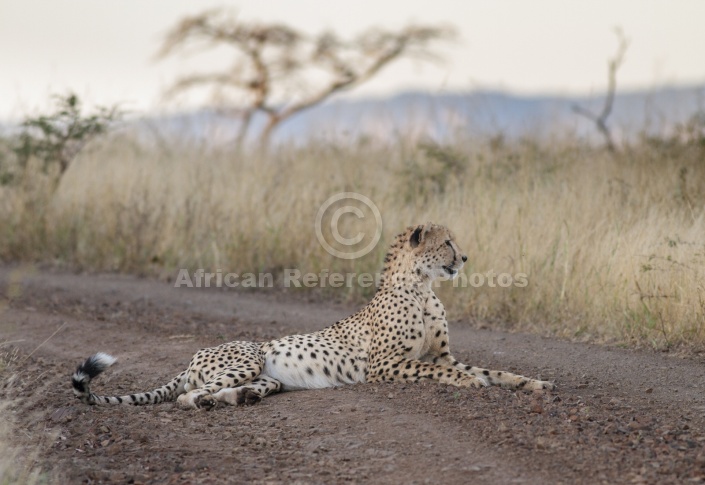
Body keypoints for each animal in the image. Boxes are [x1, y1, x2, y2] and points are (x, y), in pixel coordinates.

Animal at [73, 223, 556, 408]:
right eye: (447, 243)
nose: (466, 258)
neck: (422, 287)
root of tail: (193, 355)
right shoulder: (387, 365)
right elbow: (450, 374)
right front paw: (472, 384)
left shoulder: (441, 355)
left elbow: (494, 370)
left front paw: (535, 383)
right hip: (248, 356)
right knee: (186, 396)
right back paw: (211, 401)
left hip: (267, 377)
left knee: (228, 390)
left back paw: (238, 399)